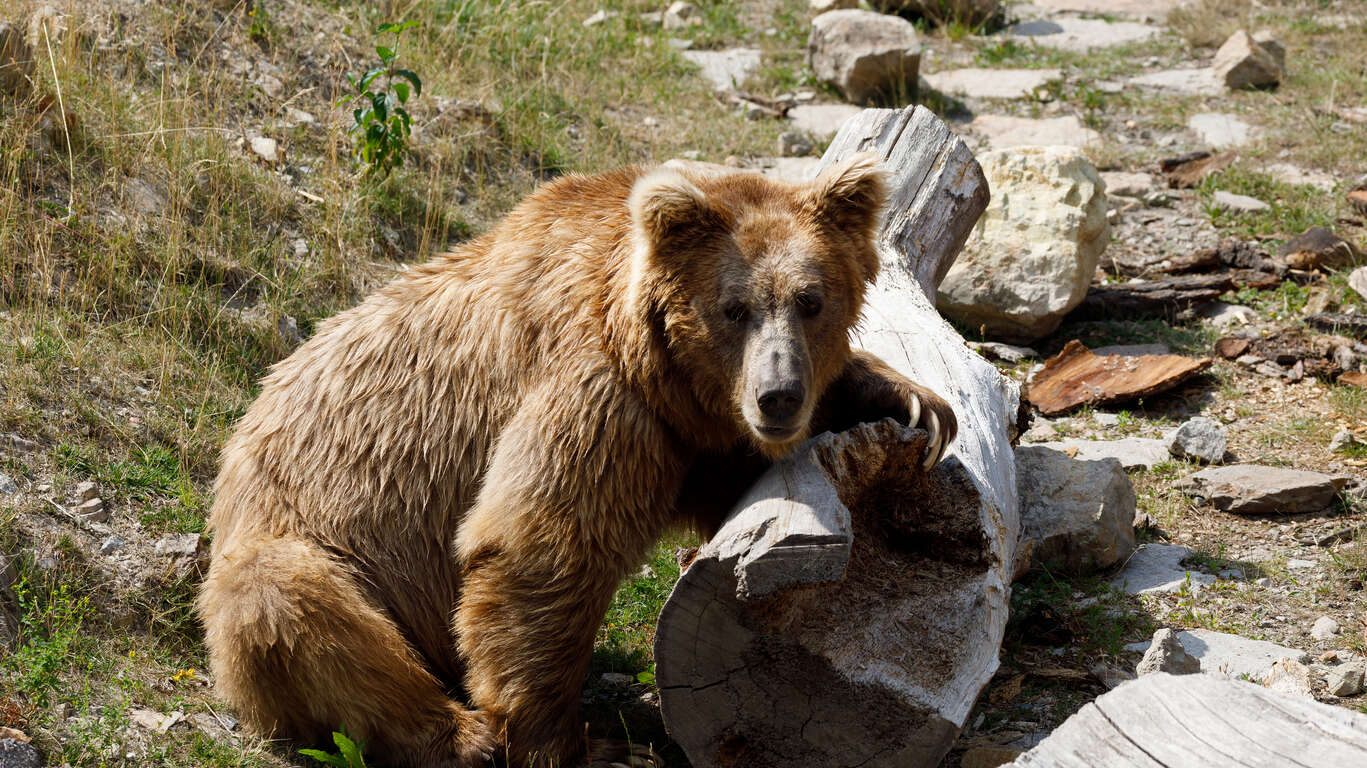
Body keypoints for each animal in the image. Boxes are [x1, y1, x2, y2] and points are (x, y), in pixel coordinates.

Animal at [198, 152, 956, 759]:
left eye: (811, 300)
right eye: (734, 308)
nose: (777, 396)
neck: (651, 355)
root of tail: (238, 442)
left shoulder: (683, 434)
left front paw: (911, 401)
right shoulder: (597, 391)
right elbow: (541, 546)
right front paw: (573, 745)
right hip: (309, 542)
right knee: (295, 609)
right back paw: (461, 735)